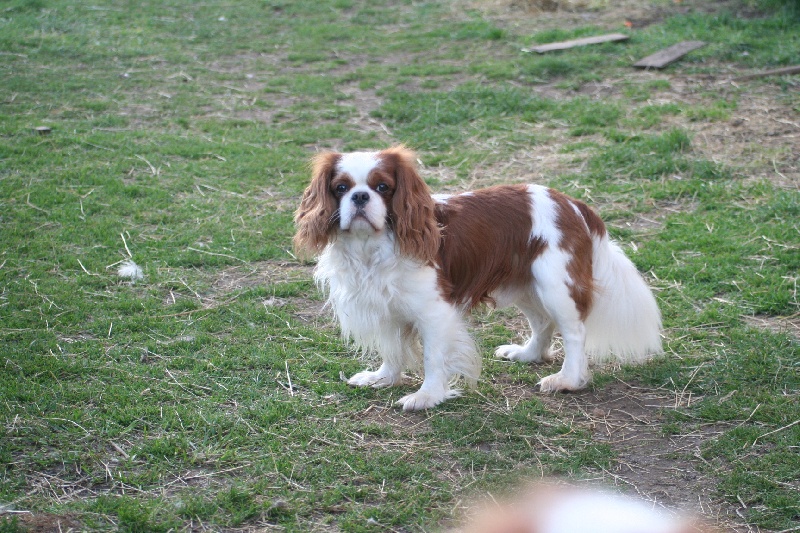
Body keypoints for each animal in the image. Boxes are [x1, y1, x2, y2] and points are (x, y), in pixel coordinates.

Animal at [294, 143, 664, 410]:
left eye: (383, 187)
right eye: (341, 188)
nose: (359, 196)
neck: (371, 248)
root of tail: (573, 204)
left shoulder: (434, 311)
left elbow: (432, 357)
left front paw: (427, 396)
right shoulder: (385, 307)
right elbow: (392, 349)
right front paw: (382, 377)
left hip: (555, 284)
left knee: (574, 332)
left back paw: (567, 380)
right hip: (526, 285)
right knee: (543, 323)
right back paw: (528, 354)